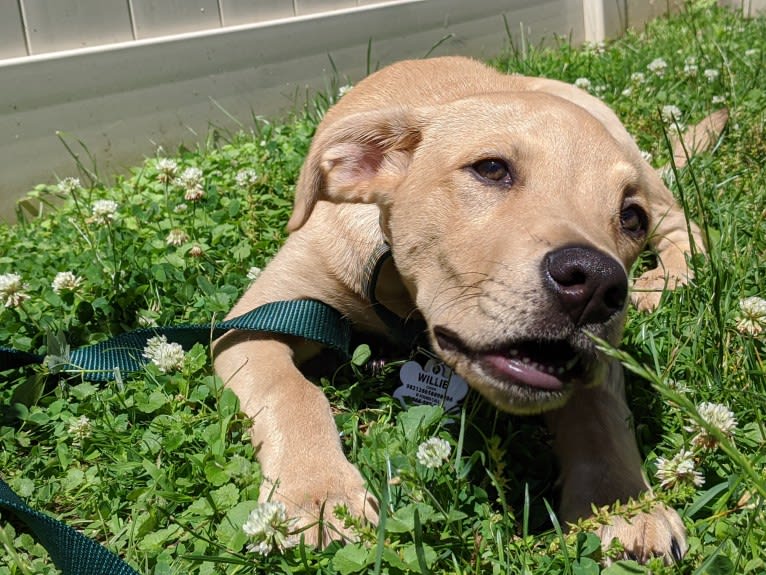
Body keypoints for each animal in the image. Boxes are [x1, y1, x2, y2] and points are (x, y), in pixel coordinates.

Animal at [213, 57, 728, 564]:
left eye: (630, 218)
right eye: (492, 169)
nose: (600, 285)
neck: (396, 286)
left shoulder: (602, 359)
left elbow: (600, 412)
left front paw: (622, 502)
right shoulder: (255, 318)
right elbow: (292, 392)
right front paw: (318, 493)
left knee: (683, 222)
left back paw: (665, 279)